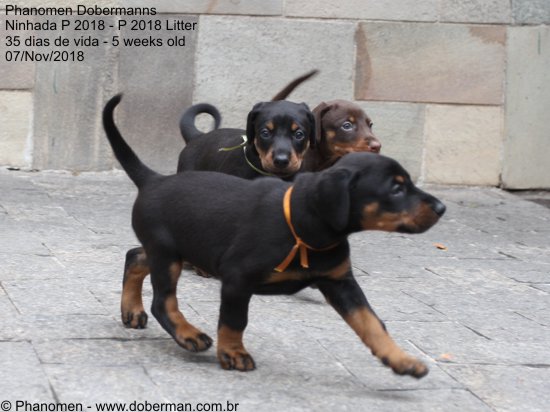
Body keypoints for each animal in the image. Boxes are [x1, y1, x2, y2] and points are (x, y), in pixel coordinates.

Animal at [104, 94, 445, 377]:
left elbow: (371, 322)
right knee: (163, 301)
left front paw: (402, 360)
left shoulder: (340, 282)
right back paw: (189, 335)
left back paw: (132, 311)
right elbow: (234, 320)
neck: (305, 226)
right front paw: (233, 353)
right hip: (168, 253)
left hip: (175, 247)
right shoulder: (238, 279)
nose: (441, 207)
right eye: (396, 189)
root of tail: (154, 180)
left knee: (136, 256)